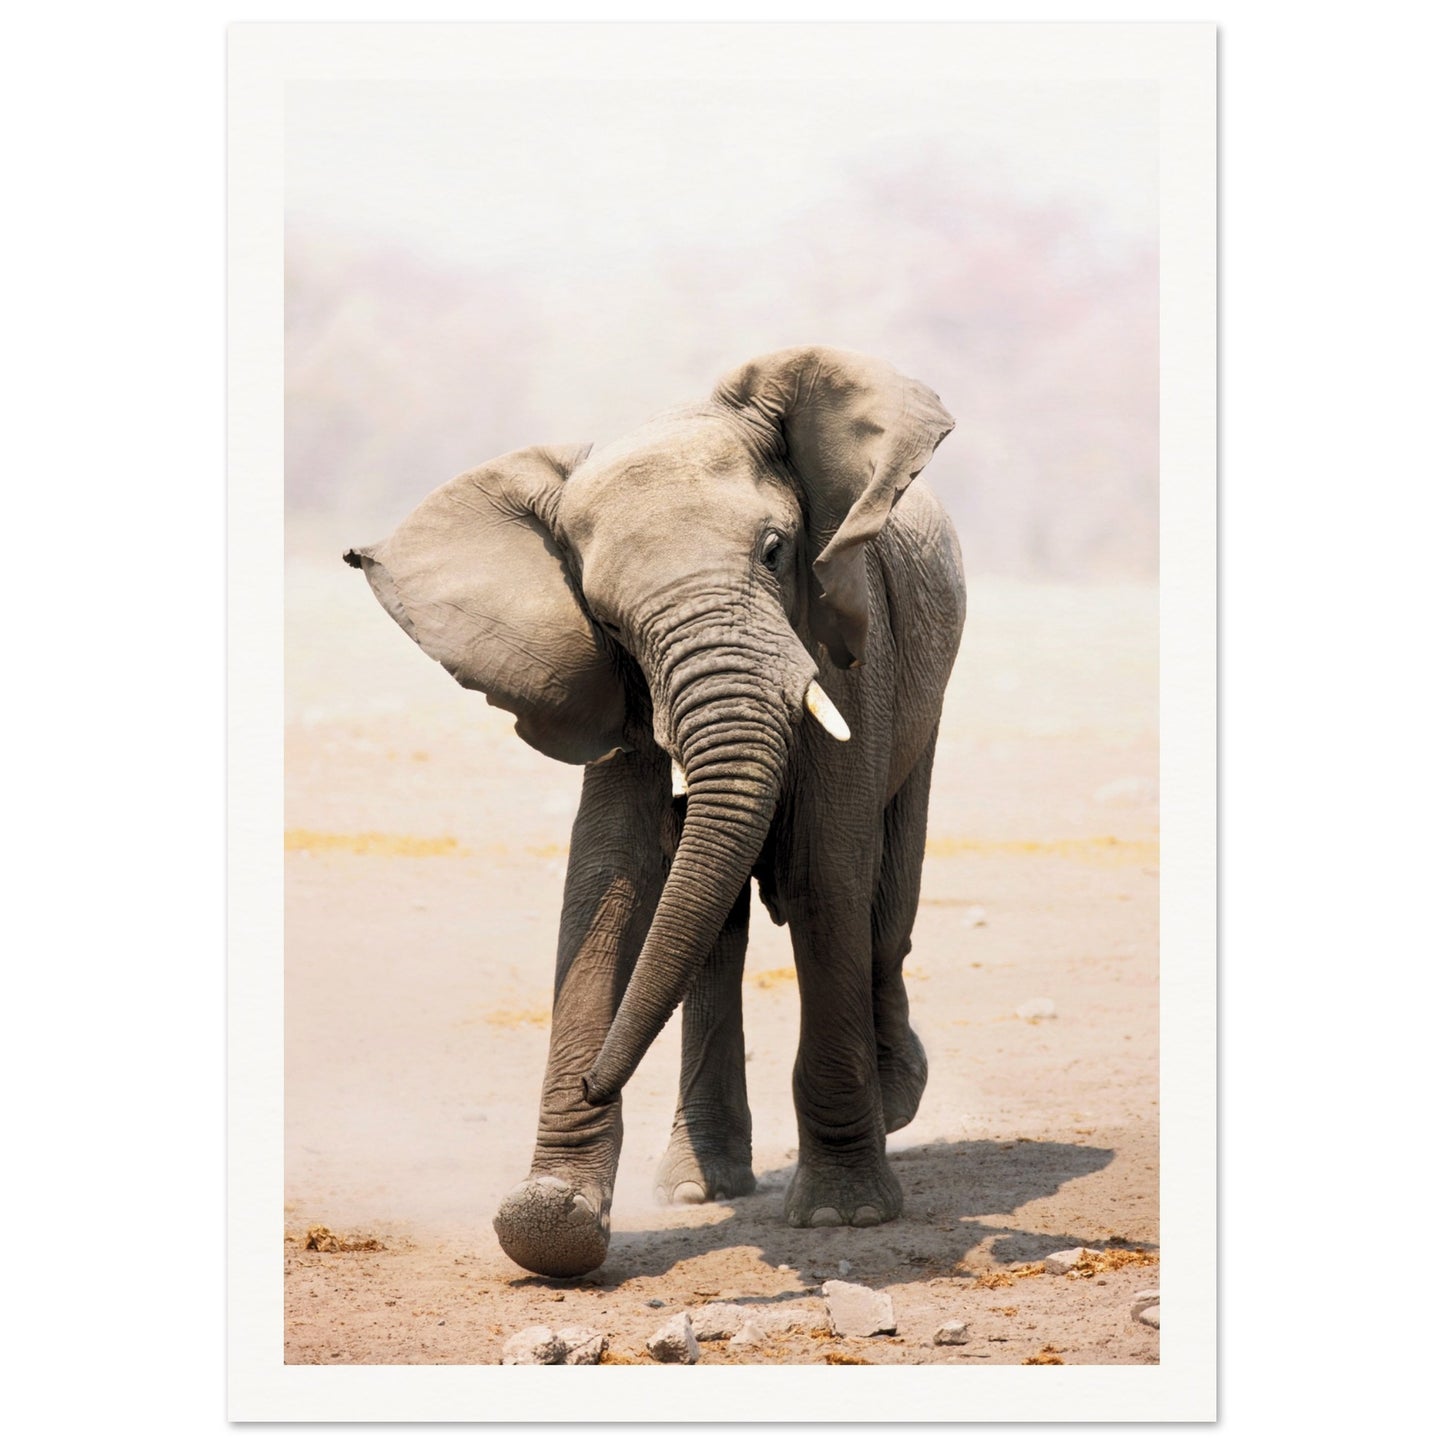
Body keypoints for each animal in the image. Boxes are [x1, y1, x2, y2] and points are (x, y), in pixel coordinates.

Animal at [344, 345, 966, 1279]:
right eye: (603, 615)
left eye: (775, 551)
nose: (594, 1080)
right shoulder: (607, 683)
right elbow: (612, 873)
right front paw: (550, 1222)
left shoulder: (851, 640)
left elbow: (823, 868)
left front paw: (843, 1215)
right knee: (716, 926)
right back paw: (696, 1186)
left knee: (885, 898)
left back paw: (898, 1099)